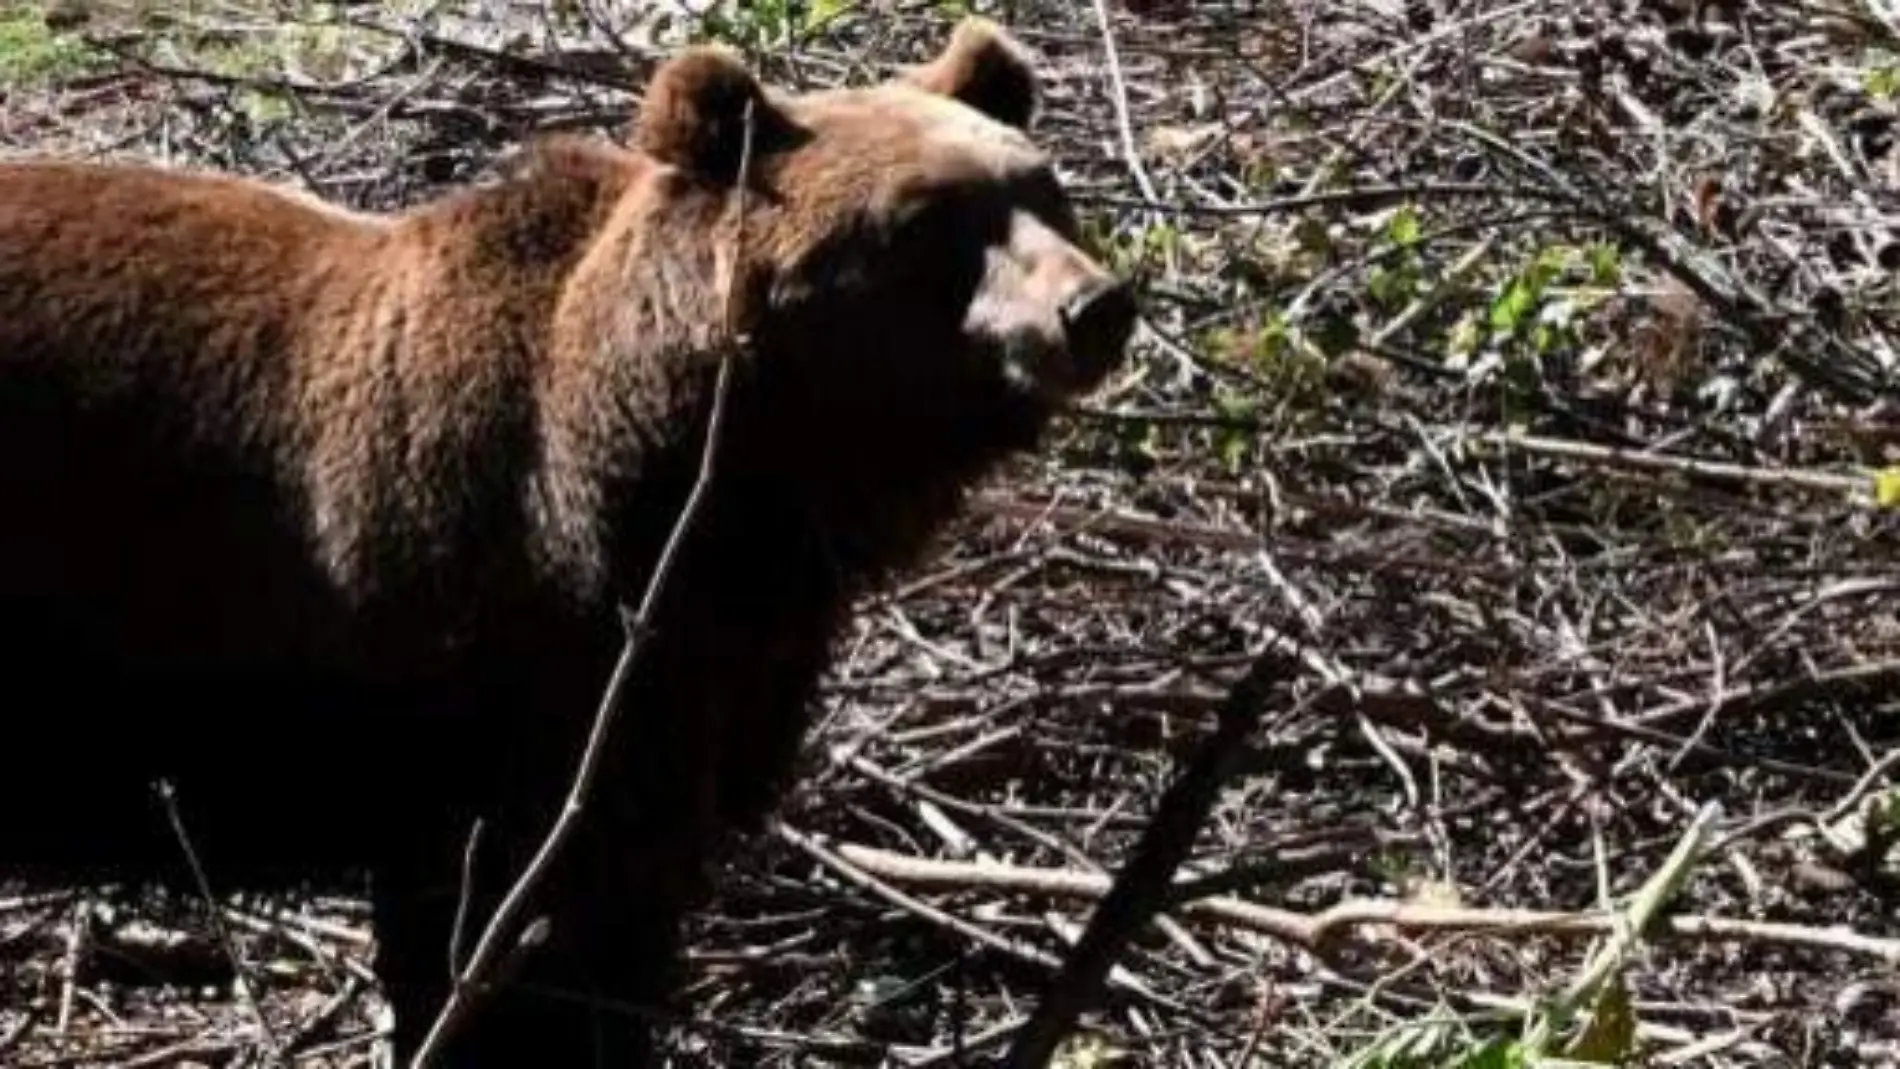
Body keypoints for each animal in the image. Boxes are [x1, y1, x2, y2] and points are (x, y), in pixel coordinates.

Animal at [0, 16, 1124, 1069]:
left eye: (1043, 188)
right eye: (925, 219)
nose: (1094, 304)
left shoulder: (696, 697)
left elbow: (622, 925)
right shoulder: (494, 687)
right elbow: (502, 948)